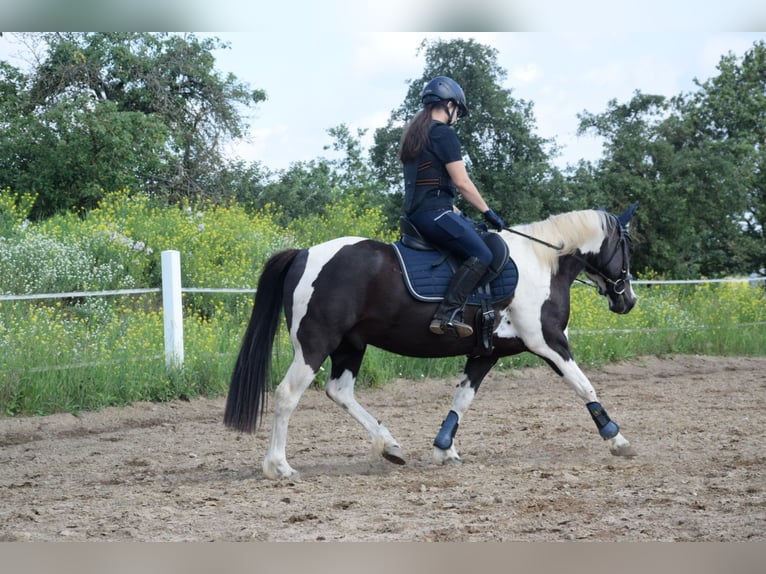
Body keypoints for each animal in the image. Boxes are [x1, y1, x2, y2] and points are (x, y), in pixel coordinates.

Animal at [224, 205, 640, 480]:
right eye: (627, 246)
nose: (628, 301)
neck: (540, 265)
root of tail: (304, 253)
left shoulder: (486, 352)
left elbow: (463, 398)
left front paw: (444, 448)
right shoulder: (548, 342)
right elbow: (584, 385)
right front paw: (617, 440)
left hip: (350, 345)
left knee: (339, 391)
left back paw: (389, 445)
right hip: (315, 344)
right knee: (286, 395)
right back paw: (279, 466)